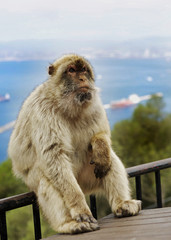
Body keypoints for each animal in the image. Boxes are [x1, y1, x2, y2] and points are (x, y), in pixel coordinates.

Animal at [8, 54, 141, 234]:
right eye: (71, 70)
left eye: (83, 70)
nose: (82, 78)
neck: (69, 106)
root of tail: (84, 187)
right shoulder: (43, 111)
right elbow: (54, 157)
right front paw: (81, 210)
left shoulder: (95, 103)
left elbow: (103, 133)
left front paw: (100, 147)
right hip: (64, 182)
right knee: (47, 178)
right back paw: (68, 224)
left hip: (88, 177)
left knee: (110, 158)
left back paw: (122, 204)